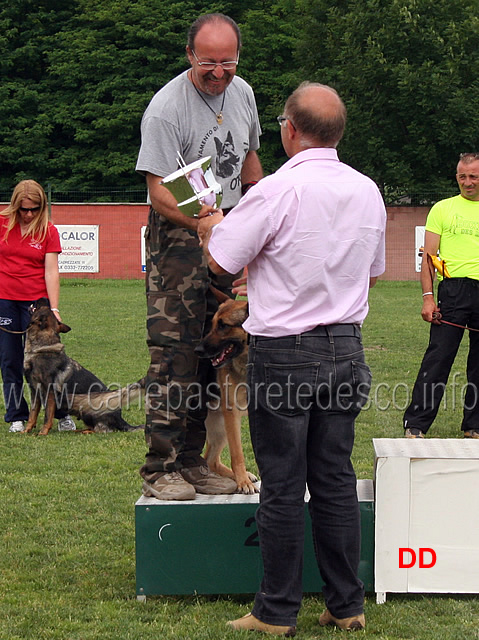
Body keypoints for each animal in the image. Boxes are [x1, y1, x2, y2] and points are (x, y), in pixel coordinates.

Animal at [22, 300, 142, 436]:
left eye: (43, 306)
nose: (40, 299)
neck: (41, 347)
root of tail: (120, 418)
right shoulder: (34, 392)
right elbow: (32, 415)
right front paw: (25, 431)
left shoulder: (50, 393)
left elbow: (47, 416)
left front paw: (42, 433)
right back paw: (78, 430)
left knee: (101, 430)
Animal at [195, 288, 258, 496]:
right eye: (213, 324)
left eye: (224, 326)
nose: (198, 349)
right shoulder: (232, 414)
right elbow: (237, 453)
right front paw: (242, 482)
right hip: (223, 425)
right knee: (210, 460)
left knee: (211, 460)